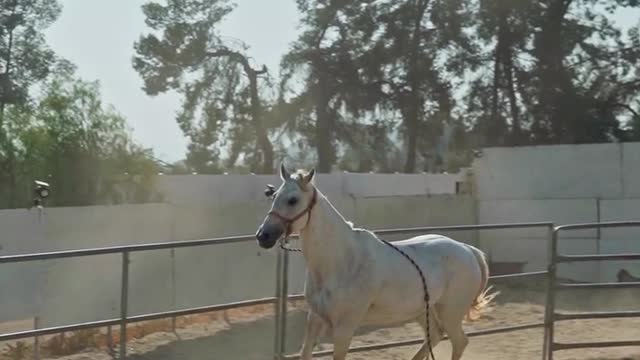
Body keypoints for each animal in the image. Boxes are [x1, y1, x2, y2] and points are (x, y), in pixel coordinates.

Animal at [255, 166, 496, 360]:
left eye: (293, 200)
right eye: (273, 196)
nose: (263, 236)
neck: (340, 260)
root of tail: (468, 250)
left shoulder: (344, 327)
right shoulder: (315, 319)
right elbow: (305, 353)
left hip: (451, 313)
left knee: (459, 341)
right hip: (423, 310)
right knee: (435, 335)